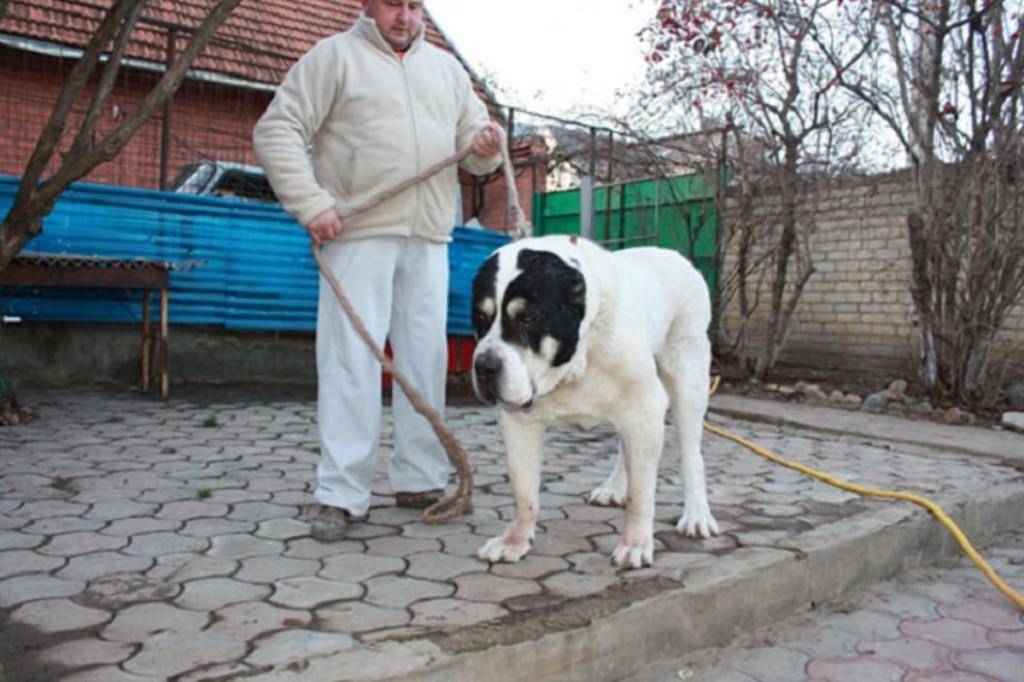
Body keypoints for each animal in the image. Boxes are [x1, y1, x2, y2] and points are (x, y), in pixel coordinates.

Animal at [468, 235, 716, 569]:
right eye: (480, 319)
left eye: (527, 318)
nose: (484, 366)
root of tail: (676, 255)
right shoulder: (518, 422)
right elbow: (524, 492)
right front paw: (516, 540)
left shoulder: (645, 404)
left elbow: (641, 495)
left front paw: (635, 544)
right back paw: (614, 487)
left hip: (688, 379)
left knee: (691, 454)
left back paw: (697, 515)